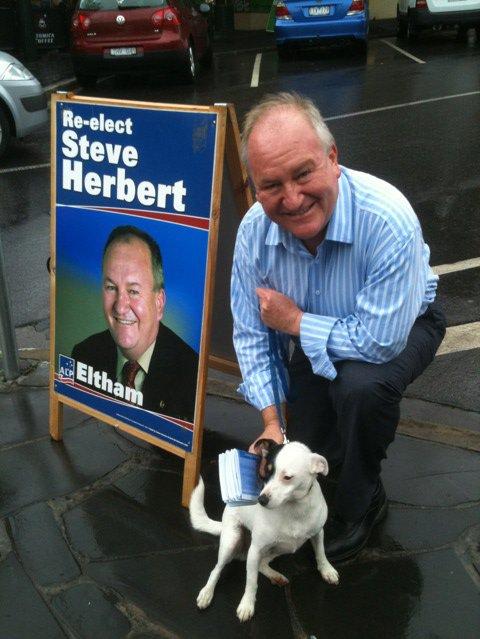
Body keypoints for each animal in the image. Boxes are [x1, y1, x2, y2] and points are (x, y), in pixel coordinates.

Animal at [188, 440, 338, 620]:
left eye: (287, 477)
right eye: (265, 473)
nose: (261, 500)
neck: (294, 507)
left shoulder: (318, 532)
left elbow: (321, 552)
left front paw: (327, 570)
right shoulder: (255, 550)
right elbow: (251, 582)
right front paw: (247, 604)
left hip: (282, 548)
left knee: (262, 564)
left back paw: (276, 576)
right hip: (231, 541)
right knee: (217, 570)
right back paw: (207, 593)